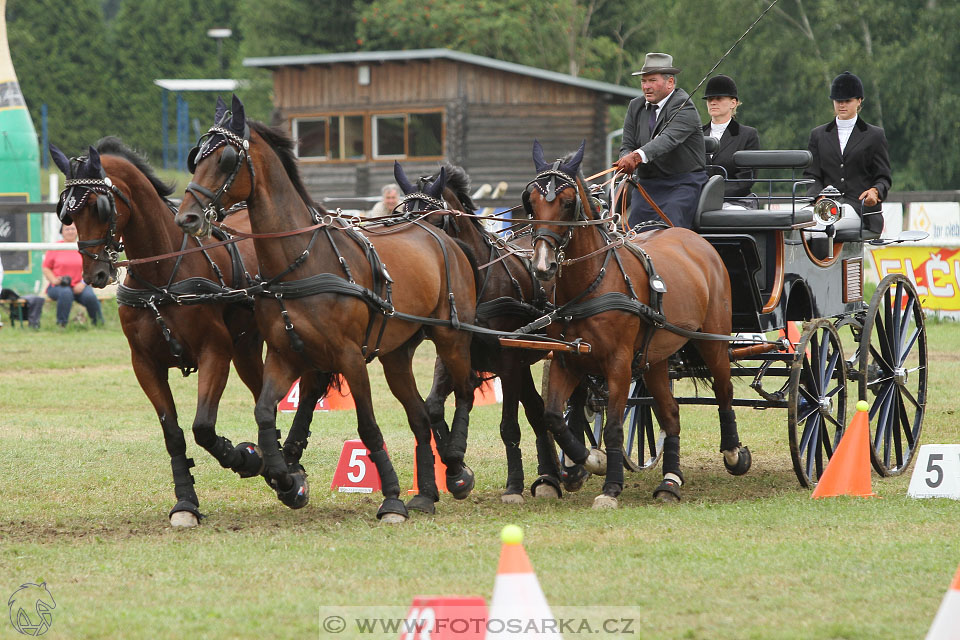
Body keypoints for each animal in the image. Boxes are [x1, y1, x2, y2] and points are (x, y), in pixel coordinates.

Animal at [47, 136, 326, 524]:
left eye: (100, 207)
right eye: (67, 214)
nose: (95, 274)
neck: (163, 277)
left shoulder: (215, 353)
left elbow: (203, 428)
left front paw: (246, 458)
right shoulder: (145, 365)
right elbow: (174, 434)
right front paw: (186, 502)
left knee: (307, 388)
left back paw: (290, 470)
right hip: (247, 349)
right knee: (264, 397)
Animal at [173, 96, 480, 524]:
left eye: (225, 159)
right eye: (195, 157)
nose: (186, 217)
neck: (300, 259)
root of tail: (444, 237)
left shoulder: (350, 357)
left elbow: (368, 426)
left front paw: (391, 498)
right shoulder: (285, 355)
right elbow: (265, 412)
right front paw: (284, 478)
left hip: (451, 336)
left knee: (465, 389)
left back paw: (455, 467)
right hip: (396, 354)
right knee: (419, 416)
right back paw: (426, 493)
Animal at [392, 160, 592, 500]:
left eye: (436, 219)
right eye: (402, 217)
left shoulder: (508, 361)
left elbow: (508, 424)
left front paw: (513, 485)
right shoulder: (451, 353)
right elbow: (433, 408)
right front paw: (458, 471)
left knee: (570, 402)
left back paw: (571, 470)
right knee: (538, 411)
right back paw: (549, 476)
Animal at [520, 141, 752, 510]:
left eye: (568, 203)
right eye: (531, 201)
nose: (543, 266)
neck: (594, 281)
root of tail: (695, 240)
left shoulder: (617, 364)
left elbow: (614, 426)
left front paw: (611, 487)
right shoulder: (567, 360)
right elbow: (554, 416)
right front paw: (591, 460)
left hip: (712, 340)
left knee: (724, 390)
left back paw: (733, 453)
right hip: (655, 359)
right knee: (671, 414)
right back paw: (670, 481)